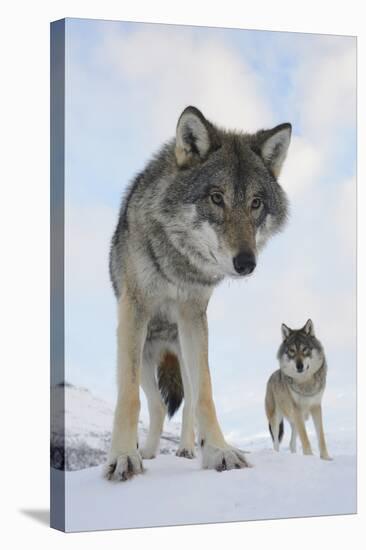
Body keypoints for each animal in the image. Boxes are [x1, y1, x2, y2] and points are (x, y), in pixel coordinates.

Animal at [105, 104, 292, 484]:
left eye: (256, 203)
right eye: (216, 198)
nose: (246, 263)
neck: (177, 262)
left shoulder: (193, 315)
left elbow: (205, 395)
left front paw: (219, 451)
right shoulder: (134, 311)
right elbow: (127, 398)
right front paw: (123, 456)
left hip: (183, 352)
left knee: (188, 401)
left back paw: (188, 449)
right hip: (145, 355)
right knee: (156, 405)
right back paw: (147, 451)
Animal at [266, 320, 332, 462]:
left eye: (304, 349)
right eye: (292, 351)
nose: (299, 366)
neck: (305, 383)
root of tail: (272, 376)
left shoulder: (316, 407)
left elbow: (321, 437)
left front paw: (325, 458)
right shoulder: (297, 409)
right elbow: (305, 439)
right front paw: (310, 458)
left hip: (295, 421)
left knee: (291, 444)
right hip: (276, 419)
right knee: (276, 443)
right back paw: (277, 456)